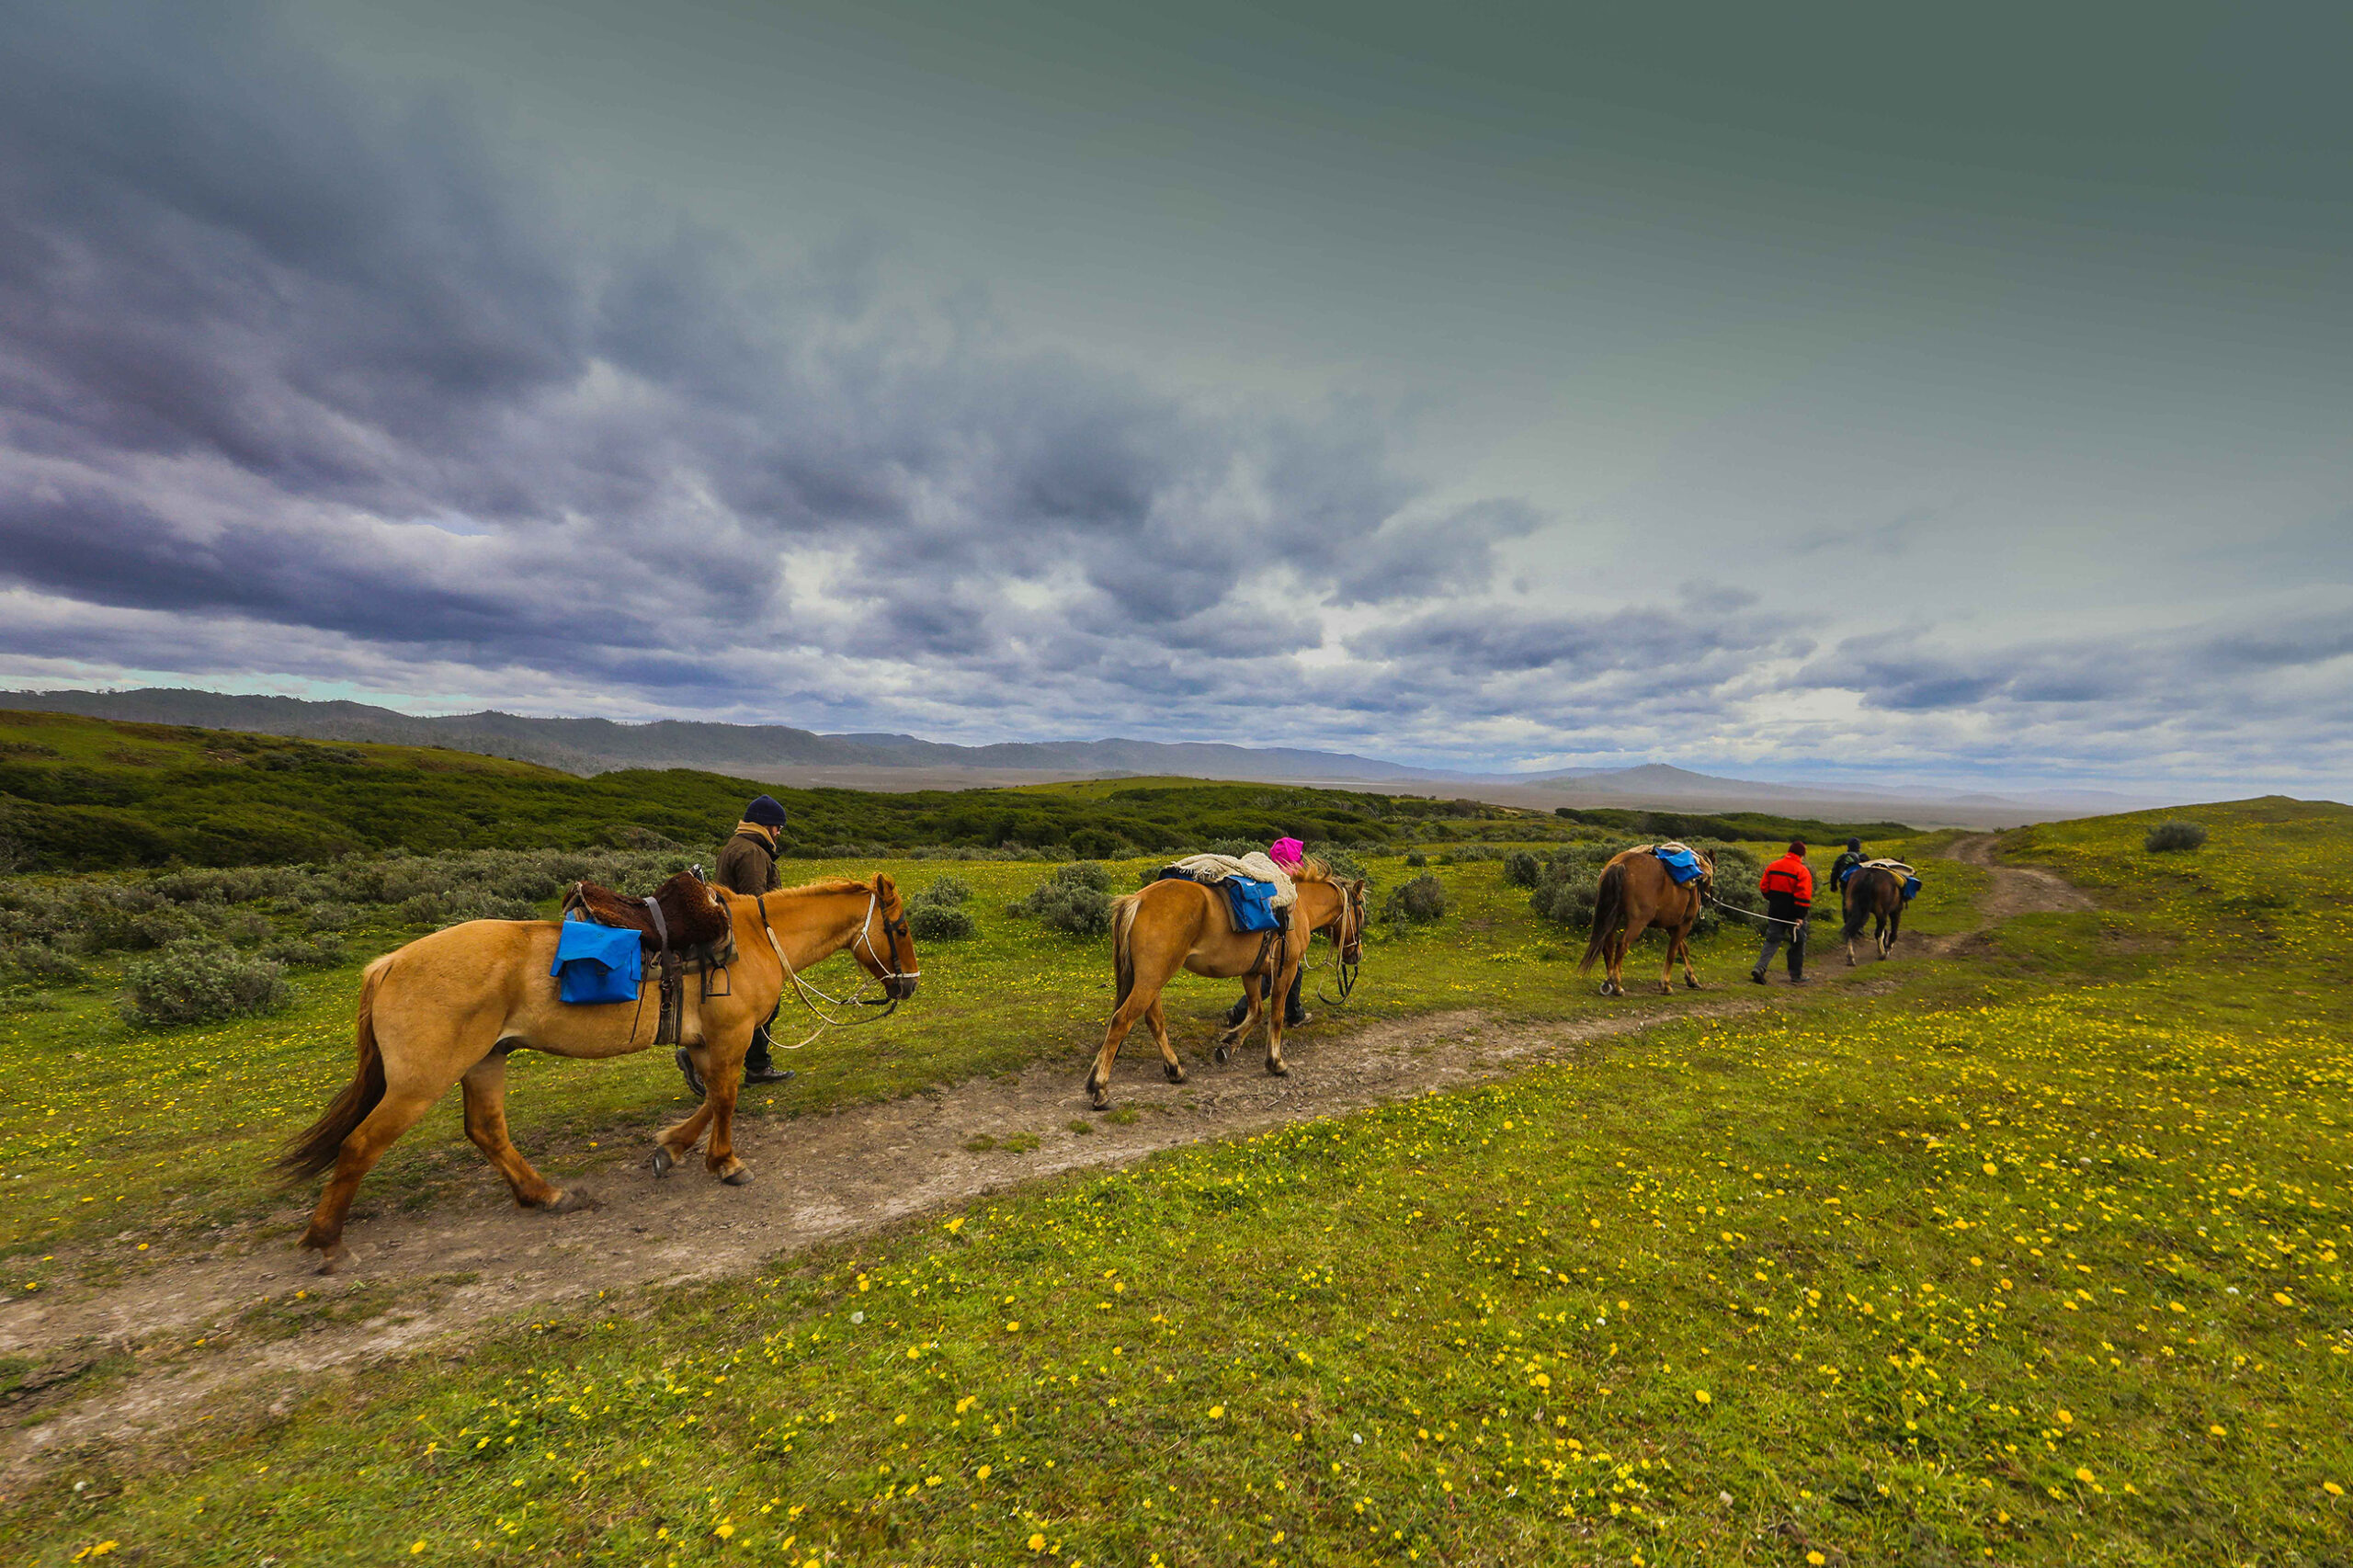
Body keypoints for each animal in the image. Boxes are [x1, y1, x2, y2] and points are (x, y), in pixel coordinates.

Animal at [279, 870, 922, 1261]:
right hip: (420, 1082)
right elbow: (726, 1098)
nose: (910, 984)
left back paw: (546, 1196)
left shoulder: (711, 1042)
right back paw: (325, 1240)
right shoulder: (730, 1037)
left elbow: (712, 1100)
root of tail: (388, 964)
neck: (756, 938)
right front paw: (723, 1162)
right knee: (361, 1145)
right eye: (900, 926)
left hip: (485, 1060)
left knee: (487, 1132)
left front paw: (672, 1149)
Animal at [1572, 847, 1722, 993]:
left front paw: (1691, 978)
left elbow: (1682, 949)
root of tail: (1620, 864)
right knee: (1622, 945)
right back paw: (1617, 984)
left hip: (1614, 916)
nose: (1707, 898)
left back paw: (1610, 981)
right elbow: (1672, 952)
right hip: (1638, 921)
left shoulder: (1671, 925)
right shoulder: (1685, 924)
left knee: (1608, 945)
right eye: (1713, 871)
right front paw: (1666, 984)